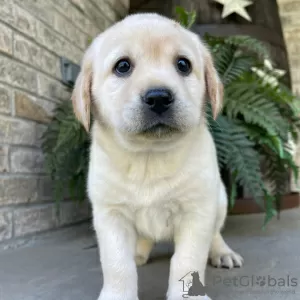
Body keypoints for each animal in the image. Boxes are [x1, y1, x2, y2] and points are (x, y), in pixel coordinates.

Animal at [71, 12, 243, 300]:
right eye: (122, 66)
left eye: (183, 65)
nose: (159, 97)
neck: (149, 156)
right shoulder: (111, 214)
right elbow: (117, 264)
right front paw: (118, 293)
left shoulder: (197, 212)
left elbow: (187, 261)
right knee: (143, 240)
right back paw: (139, 253)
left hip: (219, 200)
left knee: (215, 234)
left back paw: (222, 252)